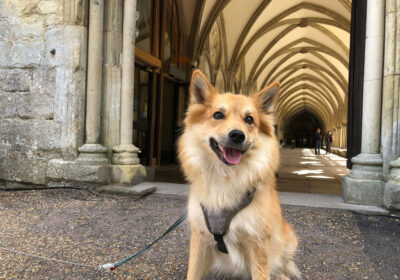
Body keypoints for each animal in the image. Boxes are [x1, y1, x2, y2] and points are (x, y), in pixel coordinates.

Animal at [179, 70, 300, 280]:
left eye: (249, 119)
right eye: (218, 115)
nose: (237, 135)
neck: (226, 177)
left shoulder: (258, 242)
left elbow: (263, 273)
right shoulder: (200, 236)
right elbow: (193, 272)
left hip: (289, 239)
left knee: (281, 264)